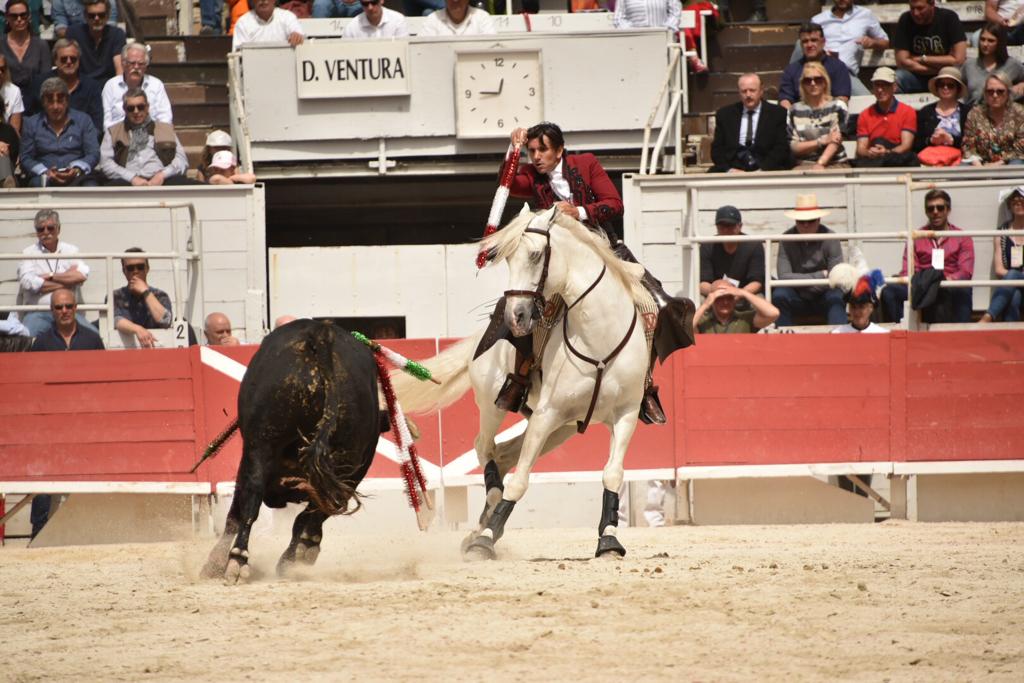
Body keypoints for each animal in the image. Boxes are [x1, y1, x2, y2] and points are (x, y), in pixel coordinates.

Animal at [201, 320, 384, 583]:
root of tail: (320, 333)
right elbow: (310, 515)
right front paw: (300, 554)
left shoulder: (249, 456)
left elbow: (236, 511)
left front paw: (214, 563)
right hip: (350, 457)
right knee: (323, 504)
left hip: (261, 443)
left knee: (251, 497)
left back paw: (238, 560)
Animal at [393, 207, 651, 559]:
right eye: (507, 260)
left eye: (535, 254)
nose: (516, 316)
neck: (599, 337)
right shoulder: (546, 413)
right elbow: (520, 480)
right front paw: (487, 539)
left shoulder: (625, 414)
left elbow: (612, 473)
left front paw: (609, 540)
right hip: (494, 404)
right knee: (484, 446)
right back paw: (485, 519)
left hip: (564, 428)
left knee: (503, 455)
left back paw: (481, 523)